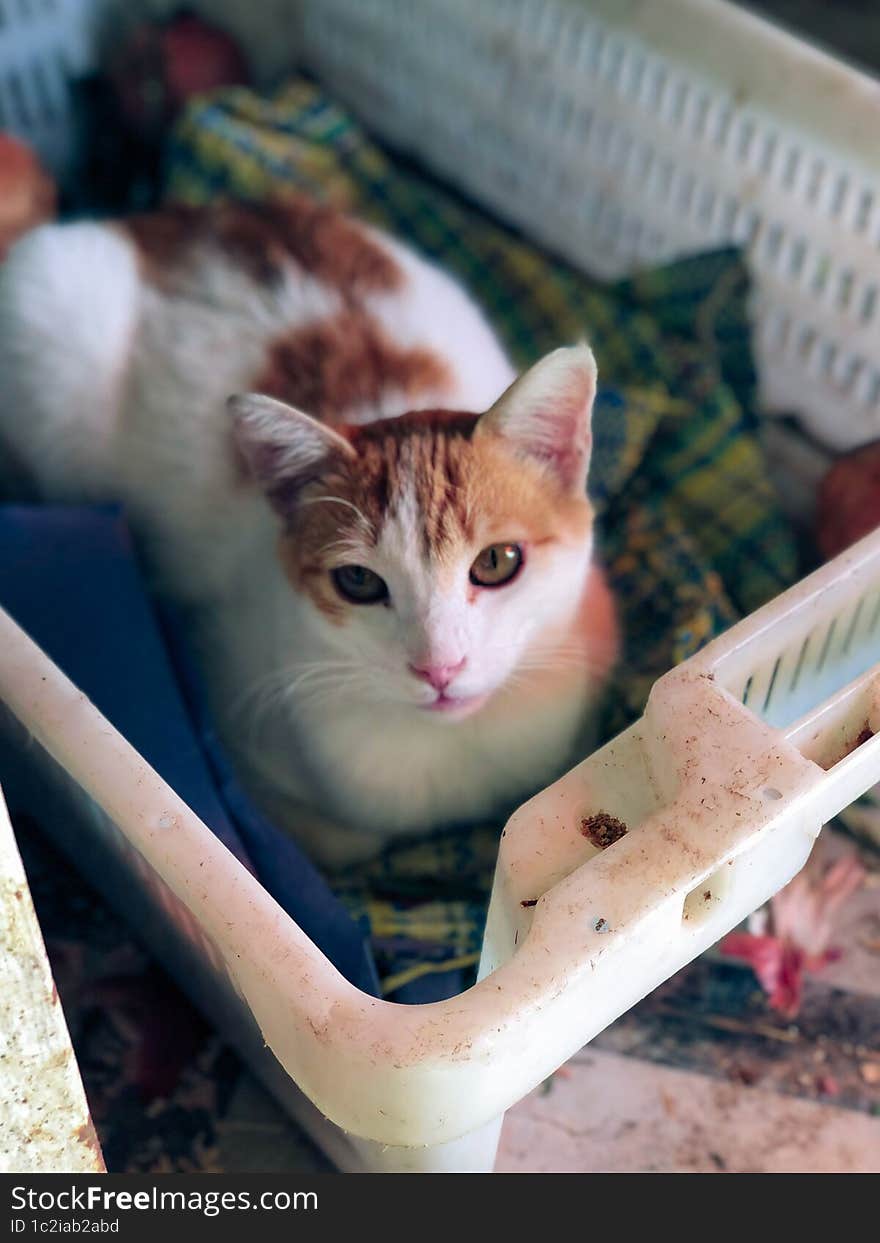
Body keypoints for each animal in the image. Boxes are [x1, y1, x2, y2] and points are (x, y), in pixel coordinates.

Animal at [0, 198, 618, 870]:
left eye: (499, 561)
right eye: (358, 581)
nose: (439, 667)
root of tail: (180, 214)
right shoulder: (231, 685)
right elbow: (338, 837)